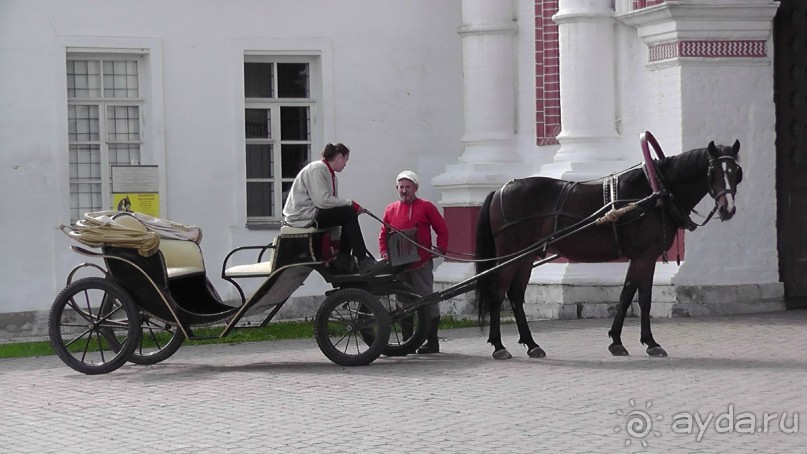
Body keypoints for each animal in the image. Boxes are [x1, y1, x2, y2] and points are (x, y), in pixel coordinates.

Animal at [474, 138, 744, 358]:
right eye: (712, 171)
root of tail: (500, 190)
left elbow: (626, 295)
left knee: (516, 295)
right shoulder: (646, 257)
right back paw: (499, 345)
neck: (654, 194)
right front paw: (650, 342)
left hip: (525, 257)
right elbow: (644, 298)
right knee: (498, 293)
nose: (728, 209)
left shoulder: (638, 258)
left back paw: (531, 344)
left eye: (736, 172)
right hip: (510, 255)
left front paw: (617, 341)